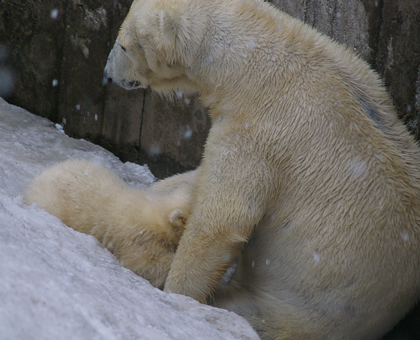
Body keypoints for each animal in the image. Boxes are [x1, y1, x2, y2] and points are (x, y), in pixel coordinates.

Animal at [102, 0, 420, 338]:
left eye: (123, 45)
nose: (107, 74)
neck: (248, 65)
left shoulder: (260, 133)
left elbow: (222, 220)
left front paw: (176, 295)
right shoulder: (362, 74)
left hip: (293, 312)